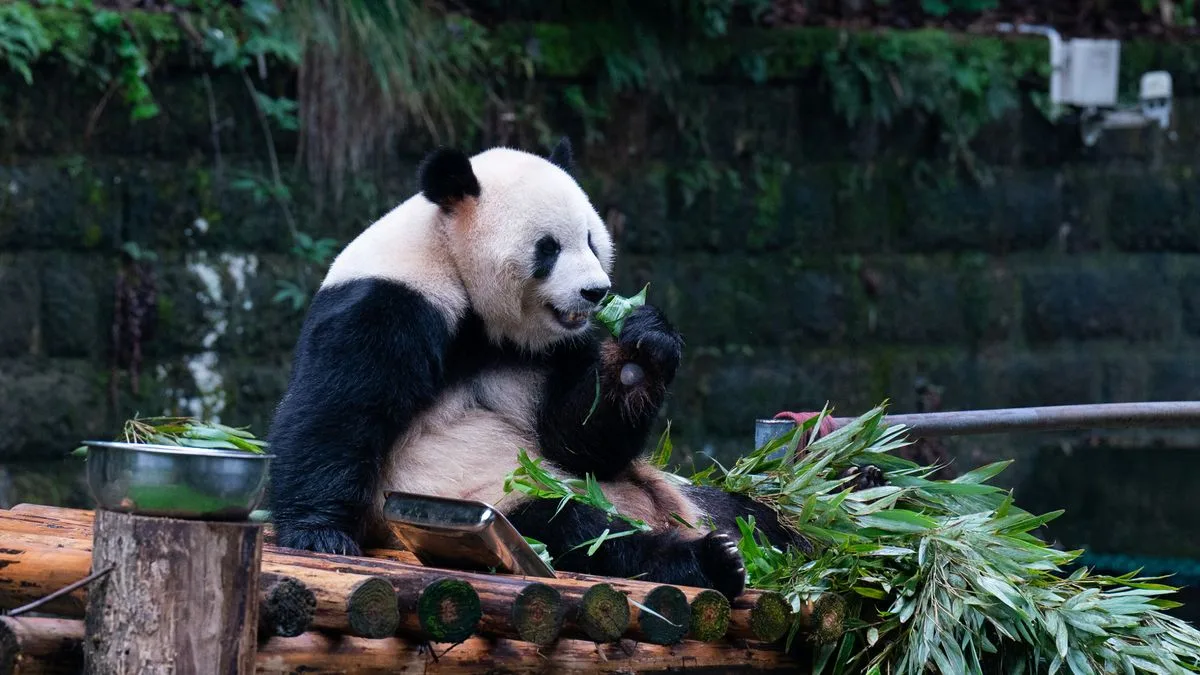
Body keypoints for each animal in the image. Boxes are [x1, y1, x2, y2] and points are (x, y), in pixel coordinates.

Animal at [265, 138, 879, 600]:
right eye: (548, 247)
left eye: (590, 238)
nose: (596, 291)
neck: (458, 270)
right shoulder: (393, 300)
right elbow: (337, 412)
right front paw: (320, 535)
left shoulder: (554, 348)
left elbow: (577, 439)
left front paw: (641, 351)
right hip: (485, 499)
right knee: (577, 531)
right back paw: (710, 561)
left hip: (699, 495)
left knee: (760, 511)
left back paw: (841, 507)